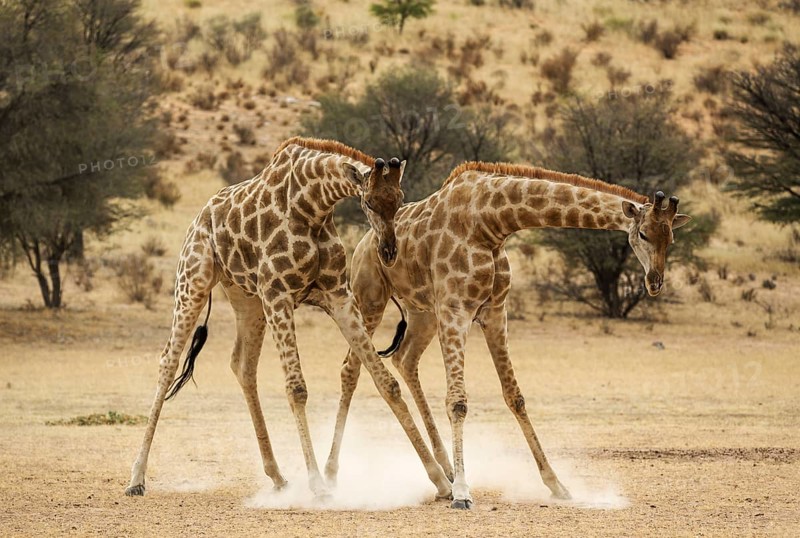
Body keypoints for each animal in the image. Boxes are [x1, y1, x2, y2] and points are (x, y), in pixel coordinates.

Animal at [125, 137, 452, 500]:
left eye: (400, 199)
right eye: (368, 202)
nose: (389, 252)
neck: (313, 207)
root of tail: (200, 215)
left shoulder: (338, 295)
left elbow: (387, 382)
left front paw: (441, 480)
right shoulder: (279, 294)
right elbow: (296, 389)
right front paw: (318, 485)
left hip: (247, 300)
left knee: (242, 364)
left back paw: (278, 476)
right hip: (193, 282)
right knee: (168, 361)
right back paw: (136, 477)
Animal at [324, 162, 691, 509]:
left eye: (670, 239)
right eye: (643, 234)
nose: (655, 282)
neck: (491, 223)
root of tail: (362, 243)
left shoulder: (495, 312)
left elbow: (515, 397)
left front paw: (557, 484)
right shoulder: (457, 310)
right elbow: (457, 402)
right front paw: (463, 492)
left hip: (423, 313)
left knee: (405, 358)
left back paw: (443, 471)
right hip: (369, 299)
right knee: (352, 369)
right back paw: (333, 475)